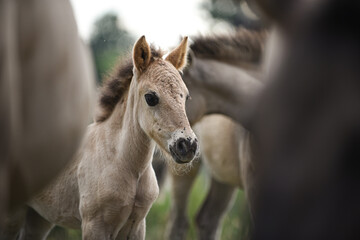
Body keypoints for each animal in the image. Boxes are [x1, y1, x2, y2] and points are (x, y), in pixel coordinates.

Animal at [19, 36, 198, 240]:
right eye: (151, 97)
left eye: (186, 97)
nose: (188, 146)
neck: (126, 165)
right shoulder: (95, 226)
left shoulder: (137, 227)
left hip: (39, 217)